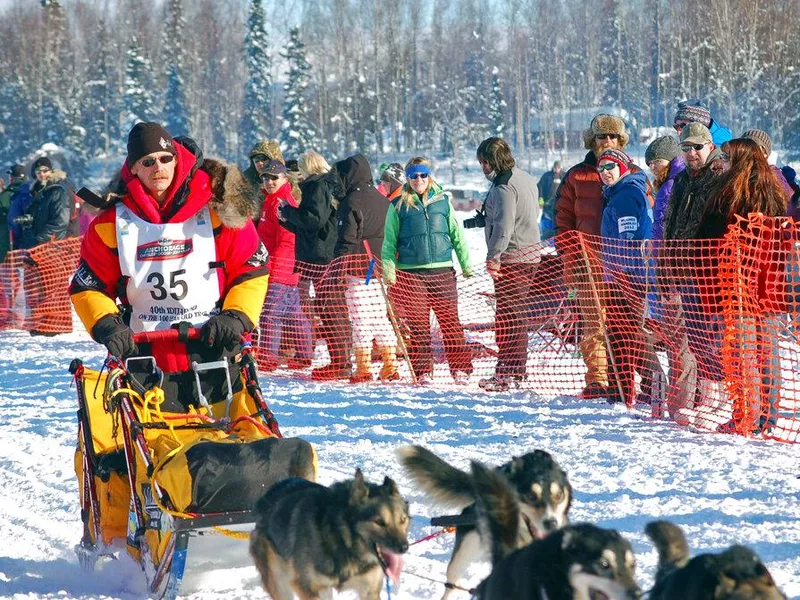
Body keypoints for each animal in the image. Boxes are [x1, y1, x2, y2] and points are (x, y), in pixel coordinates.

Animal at [250, 468, 412, 600]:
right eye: (379, 522)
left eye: (402, 520)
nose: (404, 547)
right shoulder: (305, 587)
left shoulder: (369, 591)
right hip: (279, 583)